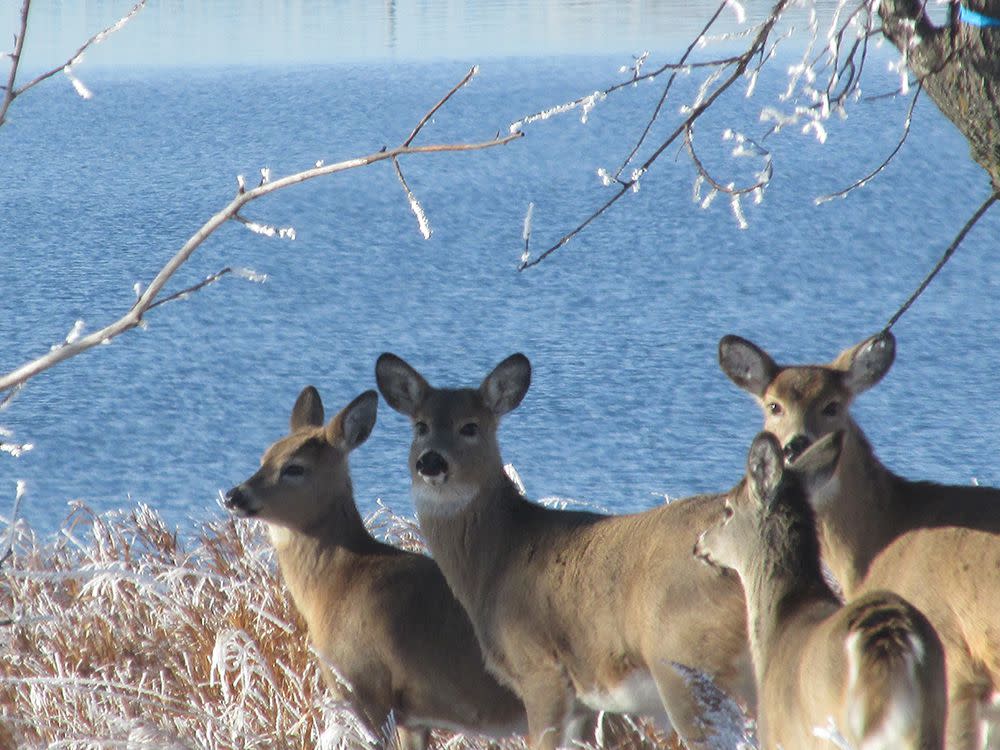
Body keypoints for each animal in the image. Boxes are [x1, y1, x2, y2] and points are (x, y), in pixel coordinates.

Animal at [223, 388, 528, 750]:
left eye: (295, 467)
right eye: (264, 457)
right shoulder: (413, 715)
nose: (234, 495)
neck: (338, 583)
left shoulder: (367, 685)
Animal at [376, 352, 756, 750]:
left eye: (470, 427)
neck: (498, 559)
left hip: (687, 663)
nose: (431, 461)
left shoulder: (539, 668)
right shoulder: (583, 703)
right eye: (420, 426)